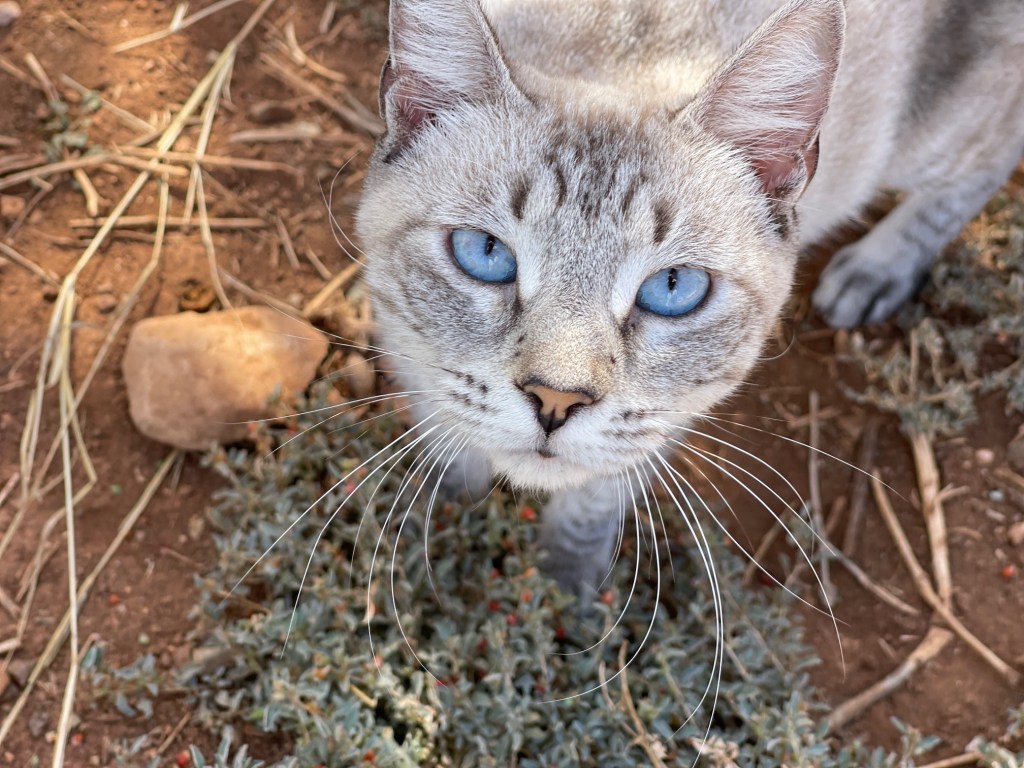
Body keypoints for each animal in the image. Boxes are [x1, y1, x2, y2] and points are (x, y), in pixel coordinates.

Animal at [356, 0, 1024, 594]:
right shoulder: (408, 347)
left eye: (672, 289)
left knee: (989, 154)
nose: (555, 400)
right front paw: (442, 522)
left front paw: (566, 588)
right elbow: (446, 441)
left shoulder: (667, 412)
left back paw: (875, 271)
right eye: (487, 253)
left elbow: (595, 497)